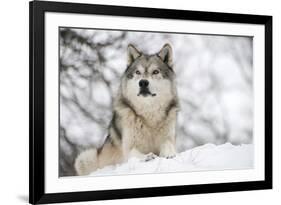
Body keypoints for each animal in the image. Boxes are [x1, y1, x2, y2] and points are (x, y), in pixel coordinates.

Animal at [74, 43, 179, 175]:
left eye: (155, 72)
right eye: (138, 72)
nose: (143, 83)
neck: (148, 115)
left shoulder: (169, 138)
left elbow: (168, 145)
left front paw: (169, 154)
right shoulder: (129, 148)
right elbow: (135, 153)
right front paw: (147, 156)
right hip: (85, 157)